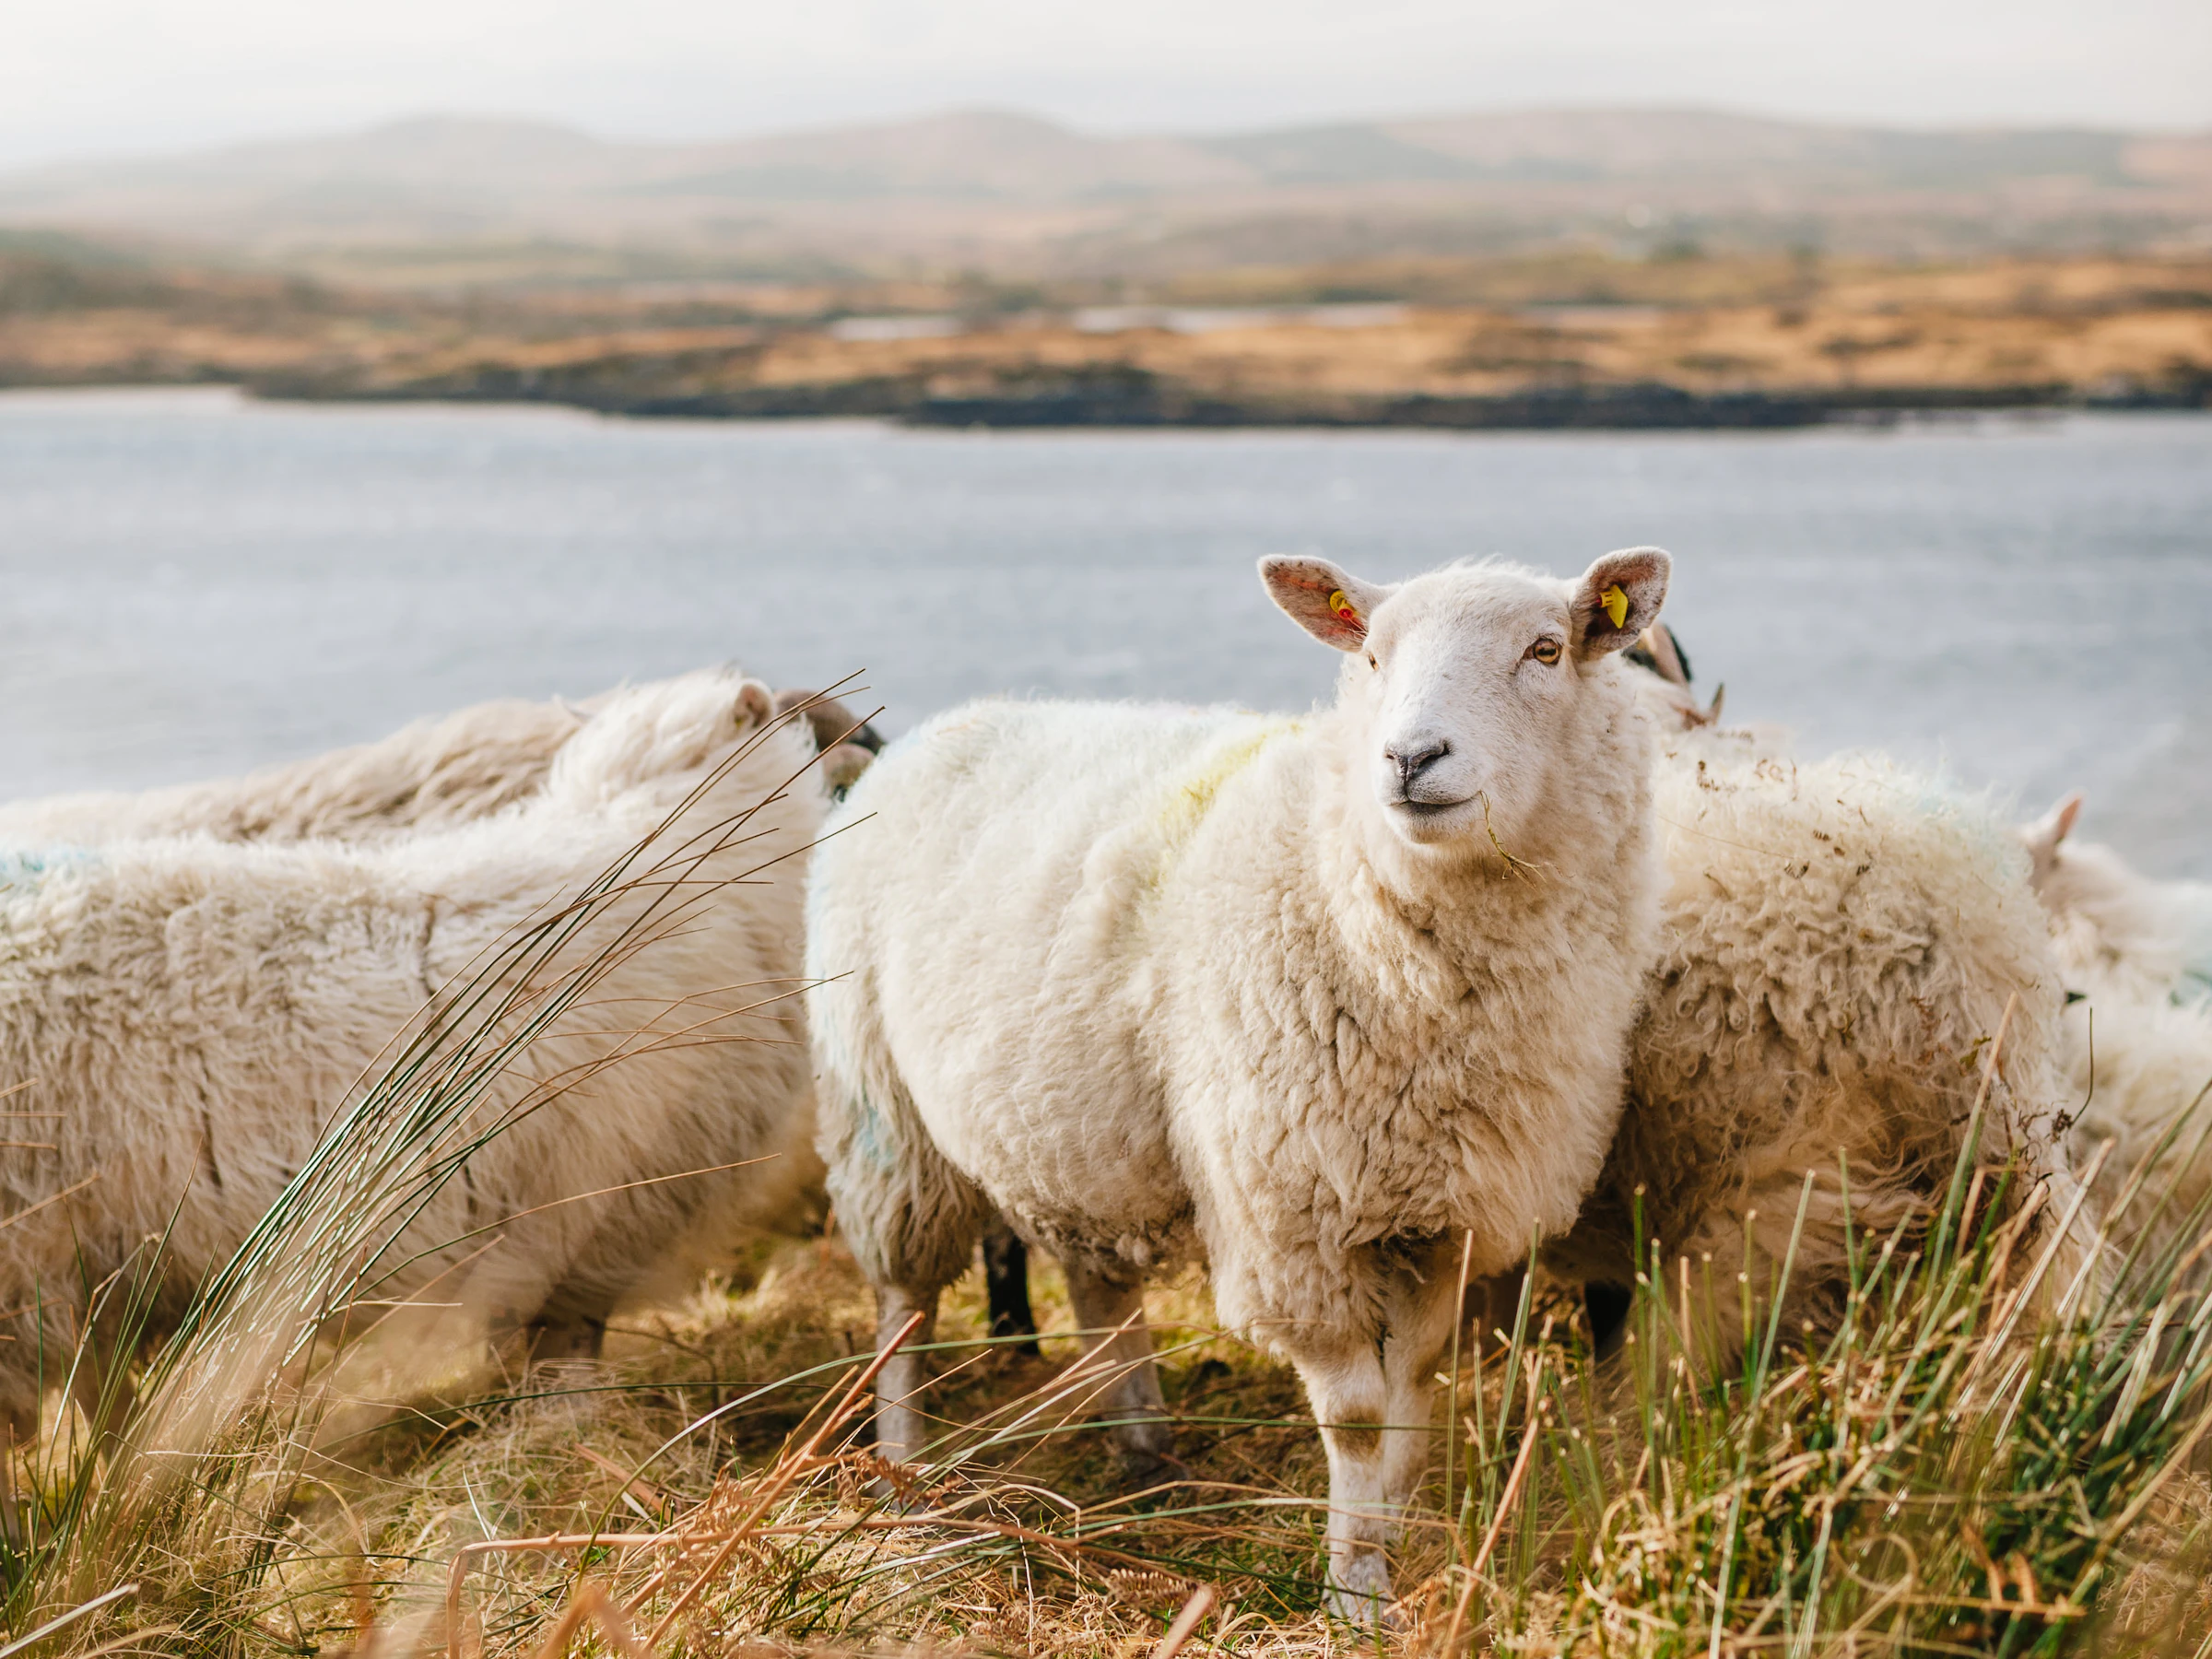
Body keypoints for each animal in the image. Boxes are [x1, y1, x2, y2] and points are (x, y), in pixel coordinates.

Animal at [809, 549, 1673, 1614]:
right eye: (1372, 655)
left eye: (1546, 650)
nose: (1410, 759)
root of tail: (930, 734)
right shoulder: (1293, 1215)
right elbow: (1356, 1416)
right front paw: (1355, 1587)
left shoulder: (1444, 1214)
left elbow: (1415, 1386)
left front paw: (1395, 1532)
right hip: (882, 1110)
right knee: (904, 1302)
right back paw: (905, 1480)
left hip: (1075, 1126)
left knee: (1098, 1283)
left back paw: (1147, 1453)